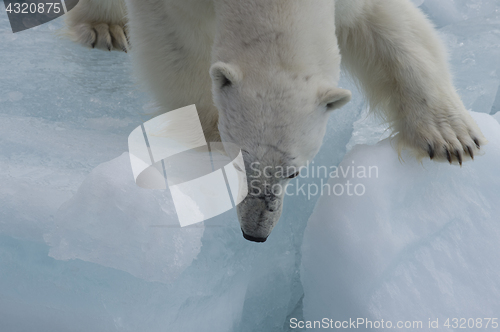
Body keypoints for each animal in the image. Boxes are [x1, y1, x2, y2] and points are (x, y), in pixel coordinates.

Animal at [64, 0, 486, 243]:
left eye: (293, 173)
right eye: (239, 163)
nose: (255, 234)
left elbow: (394, 31)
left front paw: (452, 138)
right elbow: (177, 45)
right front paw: (206, 133)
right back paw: (104, 26)